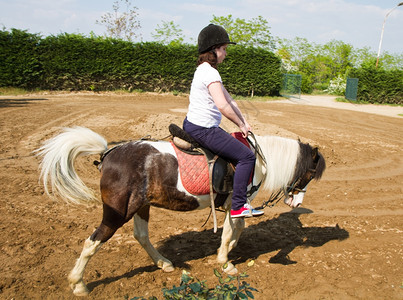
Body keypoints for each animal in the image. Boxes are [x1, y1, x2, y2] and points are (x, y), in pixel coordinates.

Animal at [37, 126, 326, 296]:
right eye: (311, 172)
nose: (296, 203)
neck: (257, 160)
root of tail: (109, 153)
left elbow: (238, 228)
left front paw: (228, 251)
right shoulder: (235, 202)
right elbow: (232, 229)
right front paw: (225, 262)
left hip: (141, 206)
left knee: (141, 236)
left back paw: (164, 263)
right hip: (118, 211)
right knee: (93, 241)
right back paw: (78, 284)